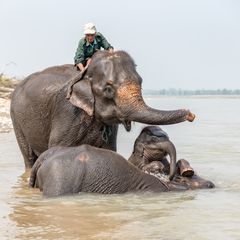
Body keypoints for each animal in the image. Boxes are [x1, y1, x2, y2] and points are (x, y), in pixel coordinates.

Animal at [10, 50, 196, 169]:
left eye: (141, 82)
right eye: (108, 89)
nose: (191, 114)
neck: (85, 74)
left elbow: (108, 151)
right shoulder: (67, 112)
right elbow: (57, 148)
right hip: (16, 118)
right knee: (28, 157)